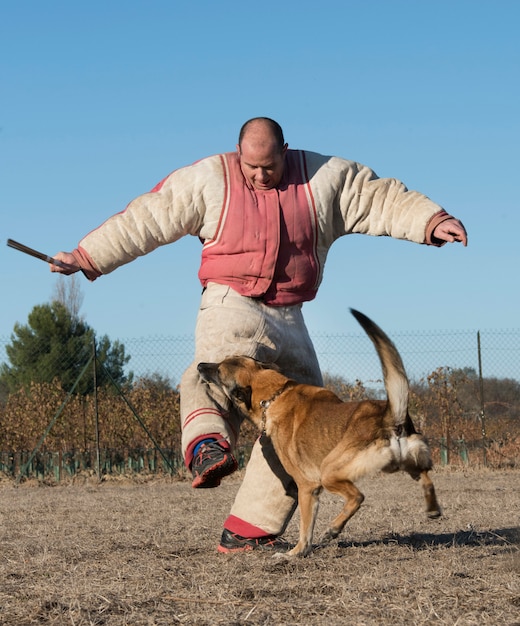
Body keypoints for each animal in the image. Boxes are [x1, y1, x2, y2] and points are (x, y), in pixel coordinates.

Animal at [197, 308, 440, 556]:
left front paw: (295, 553)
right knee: (426, 479)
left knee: (357, 496)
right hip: (407, 462)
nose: (200, 365)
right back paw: (433, 509)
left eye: (219, 370)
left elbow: (306, 530)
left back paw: (333, 529)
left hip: (329, 471)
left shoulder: (307, 487)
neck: (275, 394)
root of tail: (391, 417)